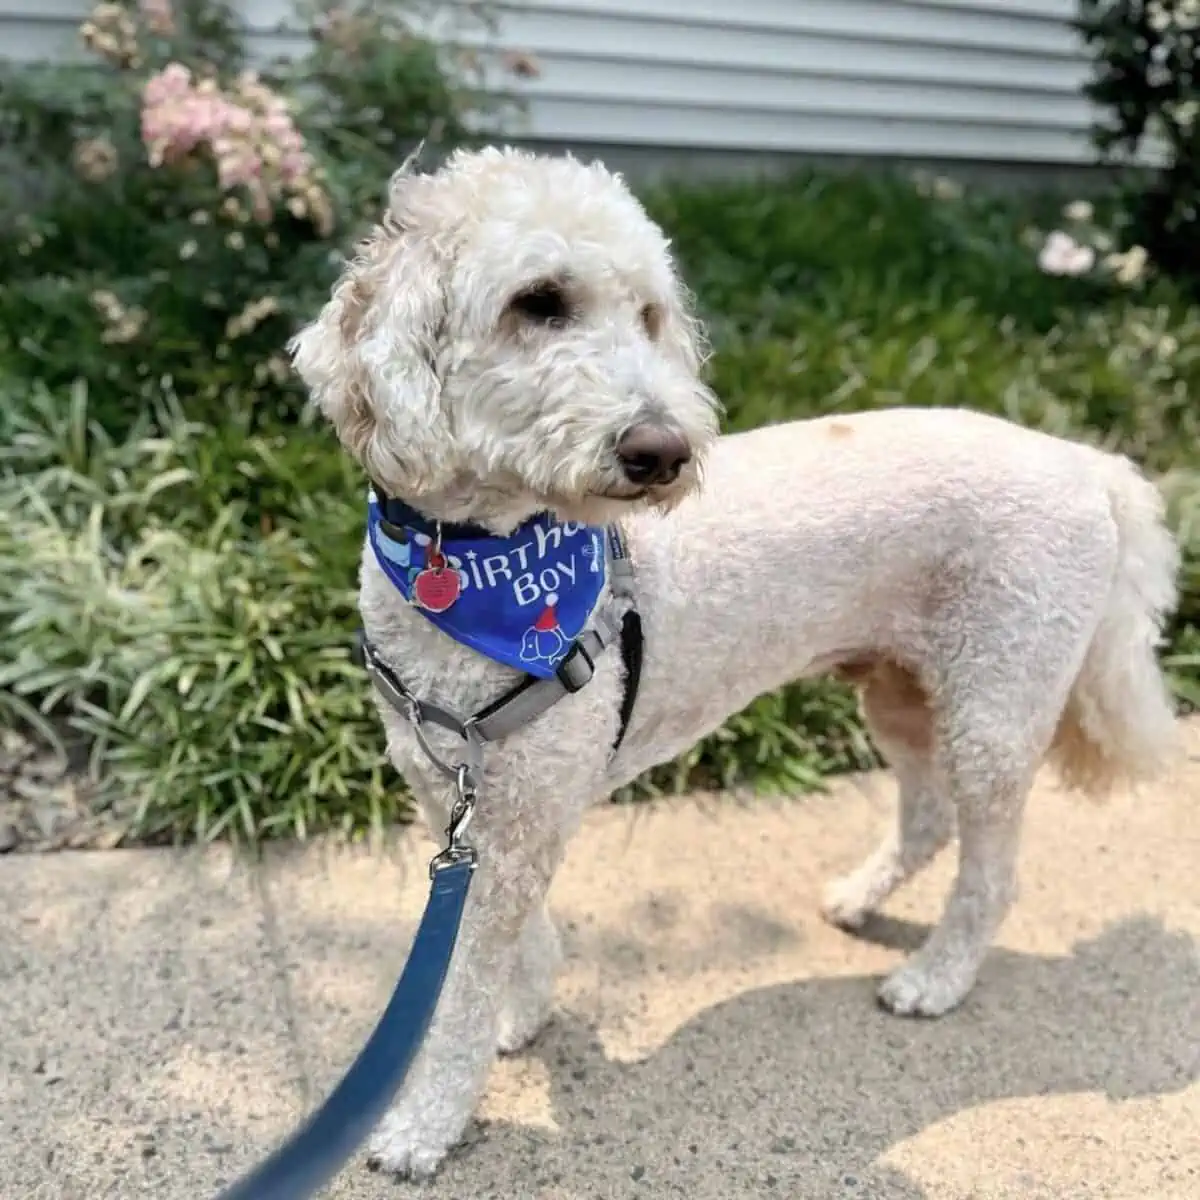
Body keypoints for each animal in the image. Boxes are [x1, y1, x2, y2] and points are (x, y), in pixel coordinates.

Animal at [292, 145, 1180, 1176]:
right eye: (539, 302)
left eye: (649, 315)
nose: (664, 450)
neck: (482, 566)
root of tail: (1090, 464)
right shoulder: (462, 796)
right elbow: (512, 940)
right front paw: (530, 1005)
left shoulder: (522, 808)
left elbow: (466, 987)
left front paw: (427, 1121)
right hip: (904, 690)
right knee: (926, 817)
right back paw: (861, 898)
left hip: (995, 709)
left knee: (990, 871)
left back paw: (936, 979)